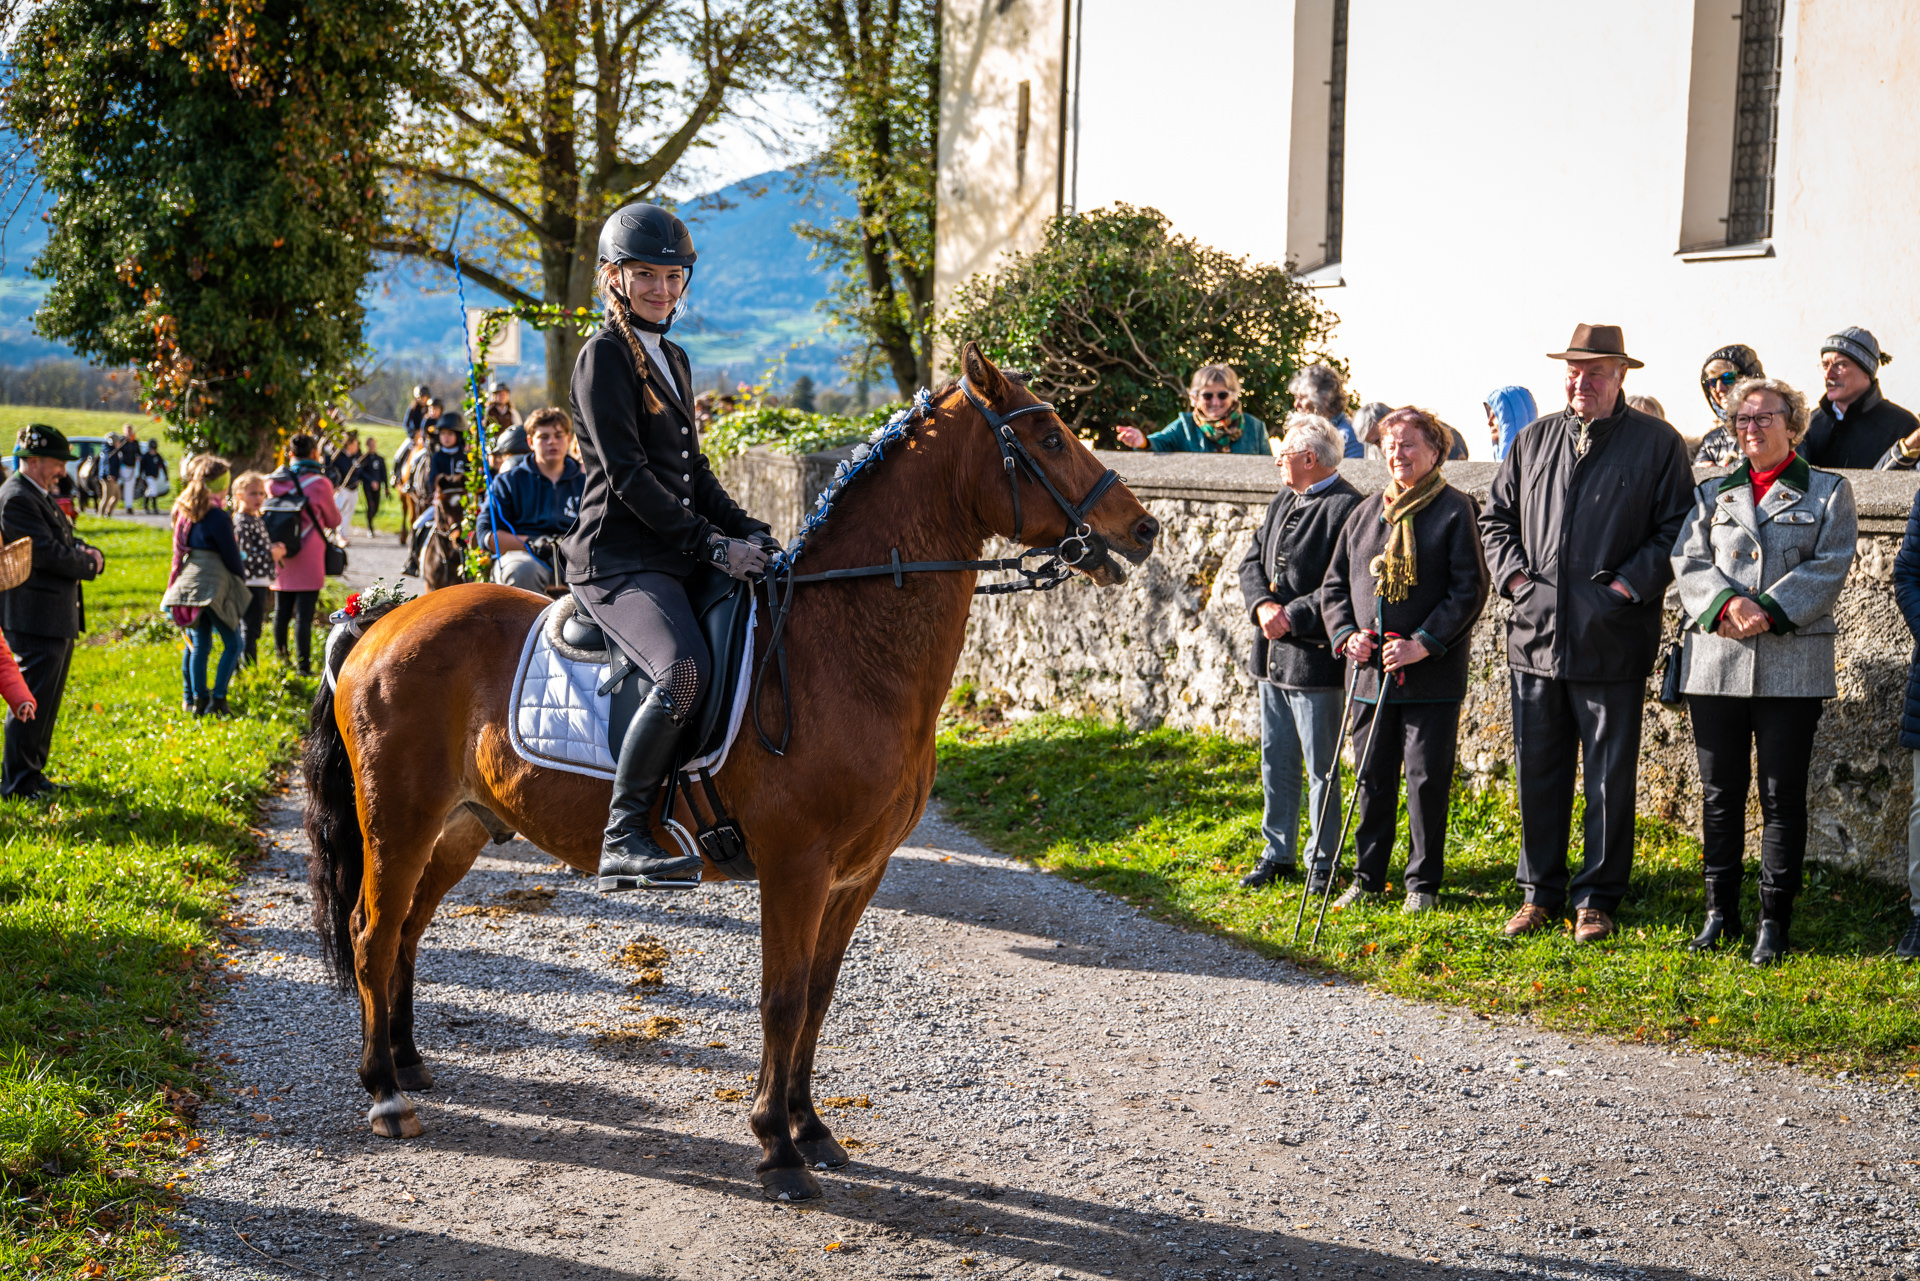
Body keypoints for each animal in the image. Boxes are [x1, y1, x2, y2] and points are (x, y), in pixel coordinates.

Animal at [300, 344, 1159, 1200]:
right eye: (1047, 437)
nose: (1145, 528)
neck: (846, 646)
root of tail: (381, 621)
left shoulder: (858, 874)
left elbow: (817, 997)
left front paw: (812, 1129)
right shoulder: (795, 865)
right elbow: (782, 999)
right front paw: (777, 1146)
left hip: (460, 825)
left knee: (407, 931)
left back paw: (410, 1062)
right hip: (399, 820)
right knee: (372, 932)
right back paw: (386, 1094)